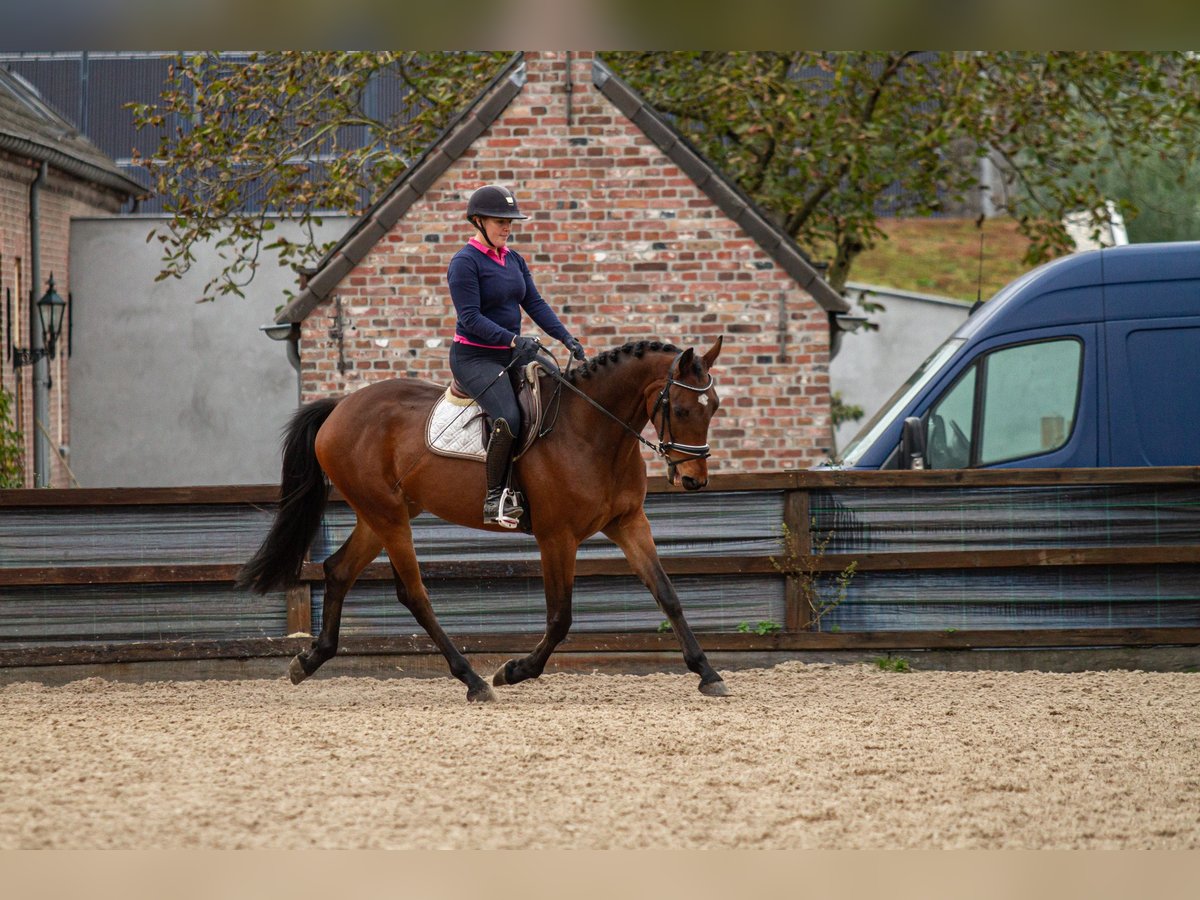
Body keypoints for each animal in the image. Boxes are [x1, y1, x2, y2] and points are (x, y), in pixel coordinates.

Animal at [232, 338, 720, 705]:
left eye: (712, 406)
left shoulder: (628, 523)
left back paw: (309, 660)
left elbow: (667, 594)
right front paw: (515, 670)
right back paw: (474, 680)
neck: (592, 430)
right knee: (413, 594)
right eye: (681, 408)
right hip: (388, 517)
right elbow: (560, 617)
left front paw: (707, 672)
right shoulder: (557, 537)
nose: (694, 479)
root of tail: (340, 407)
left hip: (382, 513)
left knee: (338, 570)